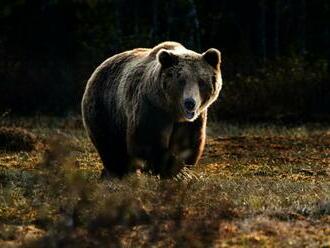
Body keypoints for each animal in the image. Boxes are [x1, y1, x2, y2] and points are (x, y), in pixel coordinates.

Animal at [81, 42, 223, 178]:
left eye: (201, 81)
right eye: (181, 81)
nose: (190, 103)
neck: (173, 111)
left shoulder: (193, 121)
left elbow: (187, 144)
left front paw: (182, 171)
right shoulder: (151, 108)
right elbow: (147, 142)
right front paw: (173, 171)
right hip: (106, 109)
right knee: (111, 147)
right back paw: (116, 173)